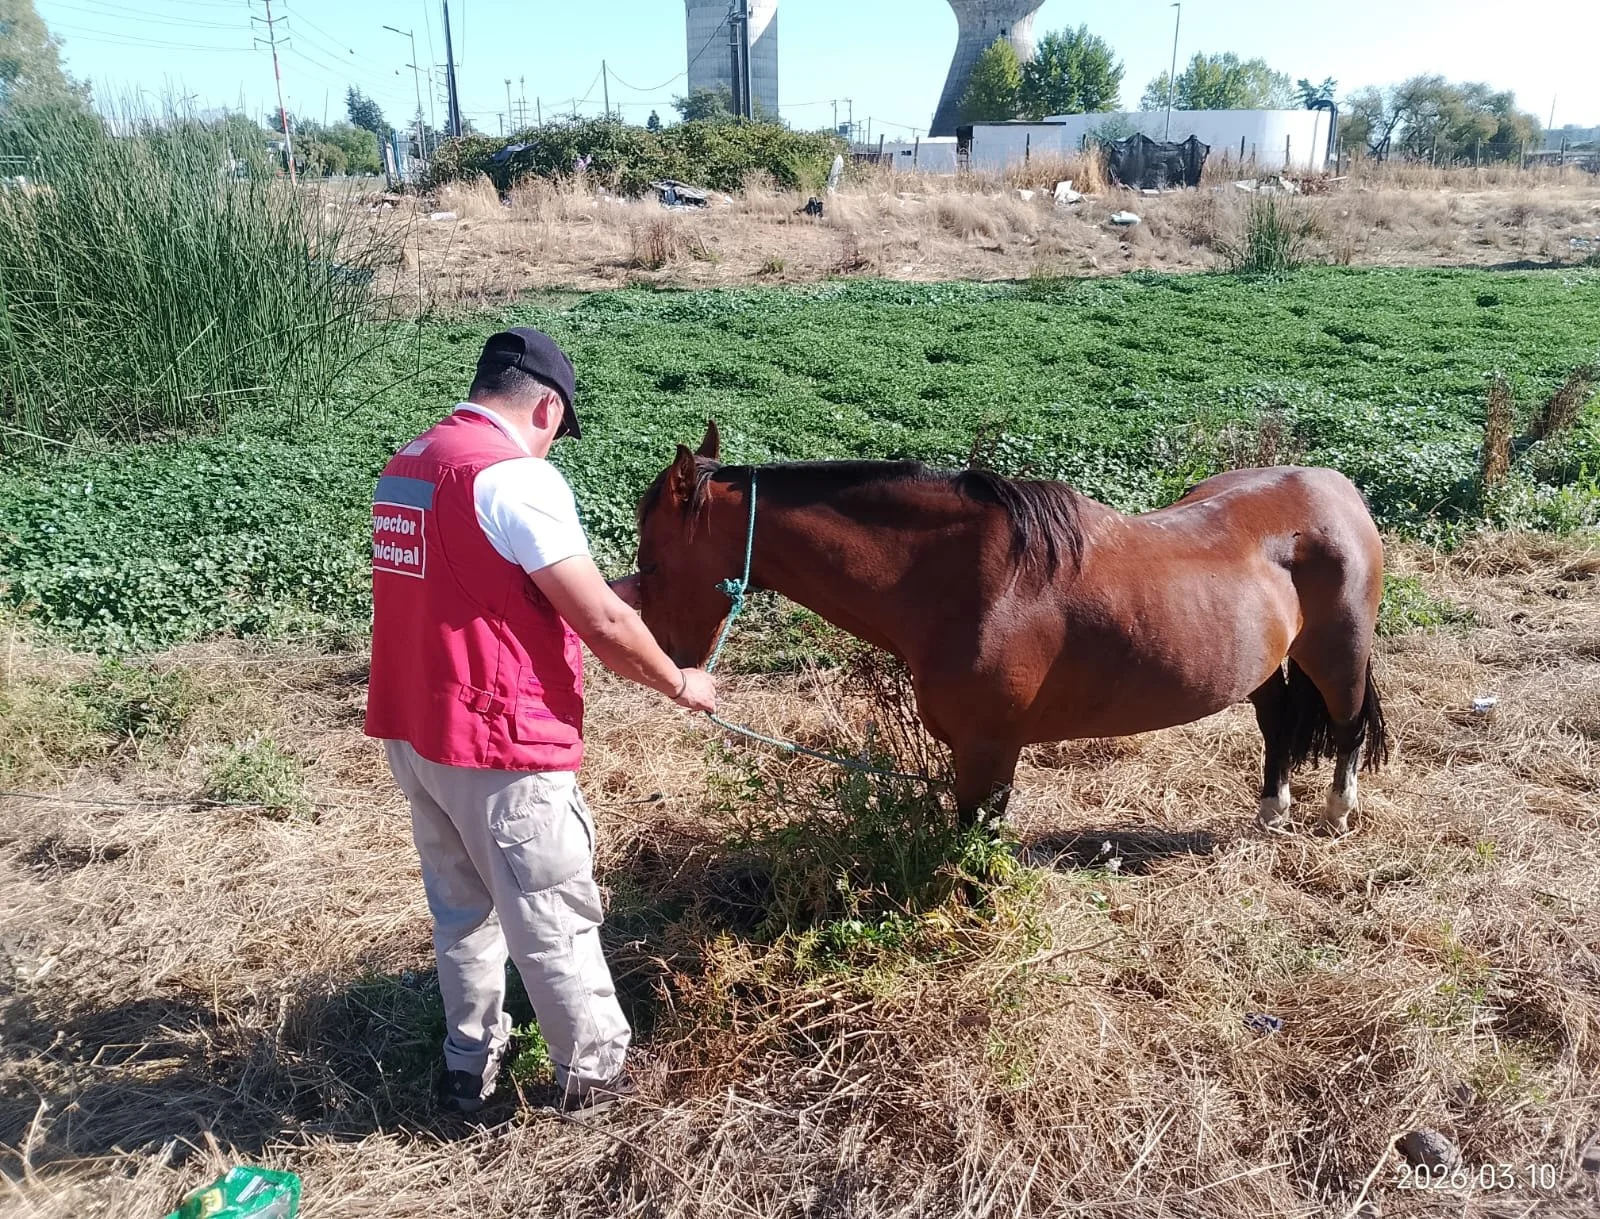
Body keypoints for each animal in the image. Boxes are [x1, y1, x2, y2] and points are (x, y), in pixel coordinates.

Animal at [634, 422, 1389, 835]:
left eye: (652, 557)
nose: (670, 658)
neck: (970, 580)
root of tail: (1338, 488)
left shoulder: (988, 751)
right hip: (1258, 664)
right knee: (1279, 722)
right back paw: (1271, 811)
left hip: (1338, 653)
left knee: (1347, 724)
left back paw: (1336, 813)